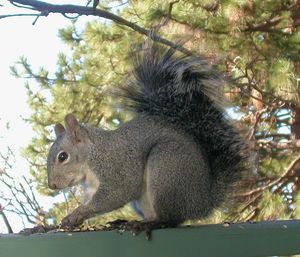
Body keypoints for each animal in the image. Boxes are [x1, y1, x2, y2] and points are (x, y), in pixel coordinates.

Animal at [46, 42, 248, 228]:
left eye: (62, 157)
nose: (52, 186)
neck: (91, 157)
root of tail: (204, 201)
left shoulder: (117, 168)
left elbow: (116, 193)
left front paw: (78, 214)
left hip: (166, 167)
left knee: (173, 219)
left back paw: (152, 224)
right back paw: (128, 222)